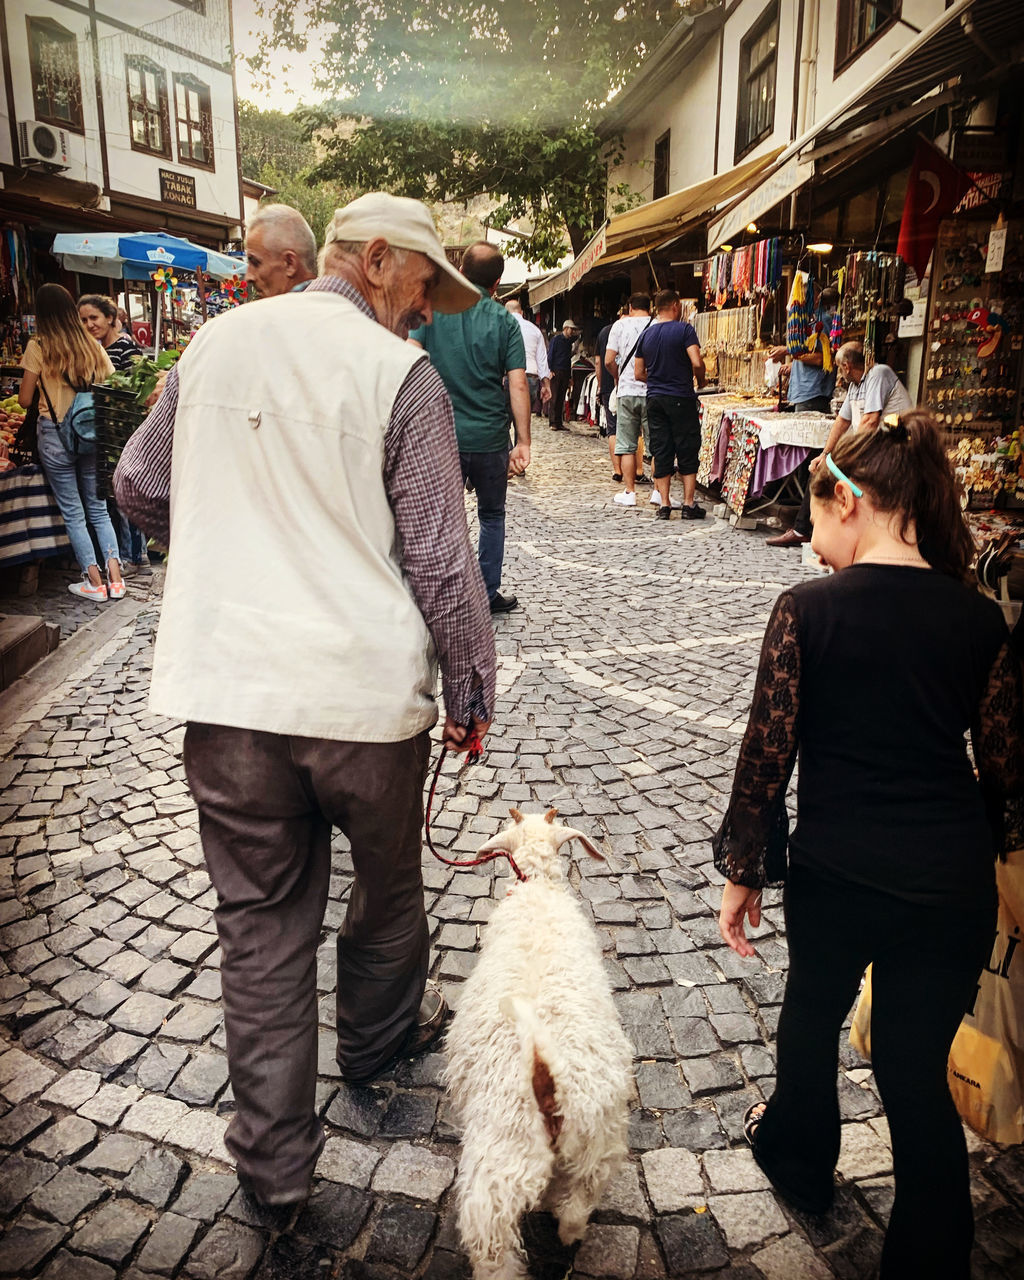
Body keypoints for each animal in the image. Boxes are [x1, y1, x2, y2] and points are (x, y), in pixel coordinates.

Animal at [442, 808, 634, 1280]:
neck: (538, 889)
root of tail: (550, 1085)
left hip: (499, 1167)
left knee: (493, 1247)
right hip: (598, 1145)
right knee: (577, 1205)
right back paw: (566, 1230)